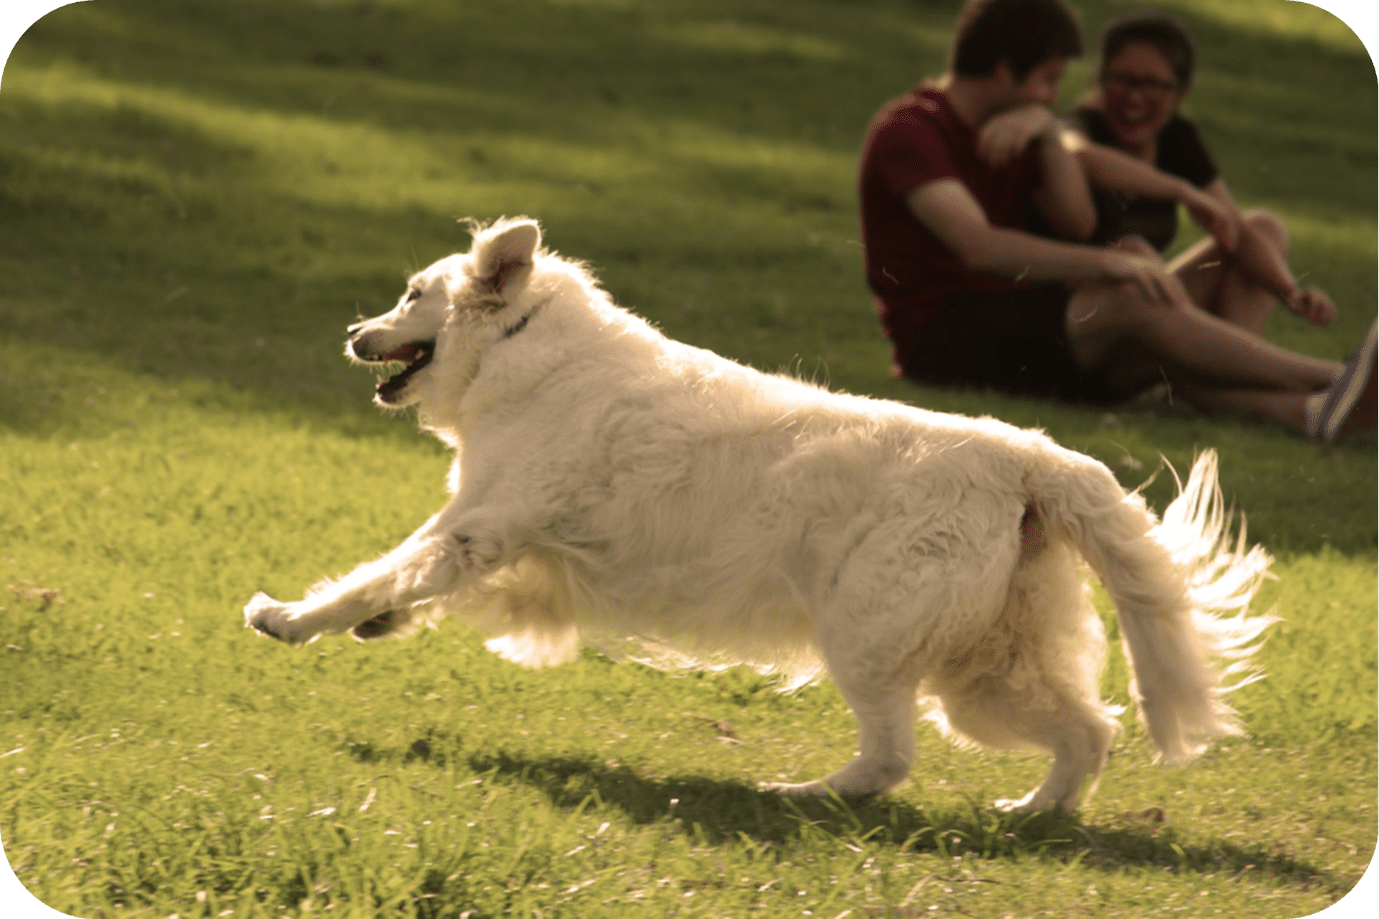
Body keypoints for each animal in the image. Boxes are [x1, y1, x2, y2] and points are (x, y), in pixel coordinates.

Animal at [242, 216, 1274, 811]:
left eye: (413, 294)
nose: (353, 333)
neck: (528, 349)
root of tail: (1025, 455)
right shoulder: (501, 541)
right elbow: (408, 584)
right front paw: (377, 621)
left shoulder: (480, 525)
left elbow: (380, 569)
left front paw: (291, 618)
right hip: (982, 671)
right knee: (1086, 732)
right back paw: (1029, 815)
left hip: (872, 640)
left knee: (891, 758)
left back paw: (800, 795)